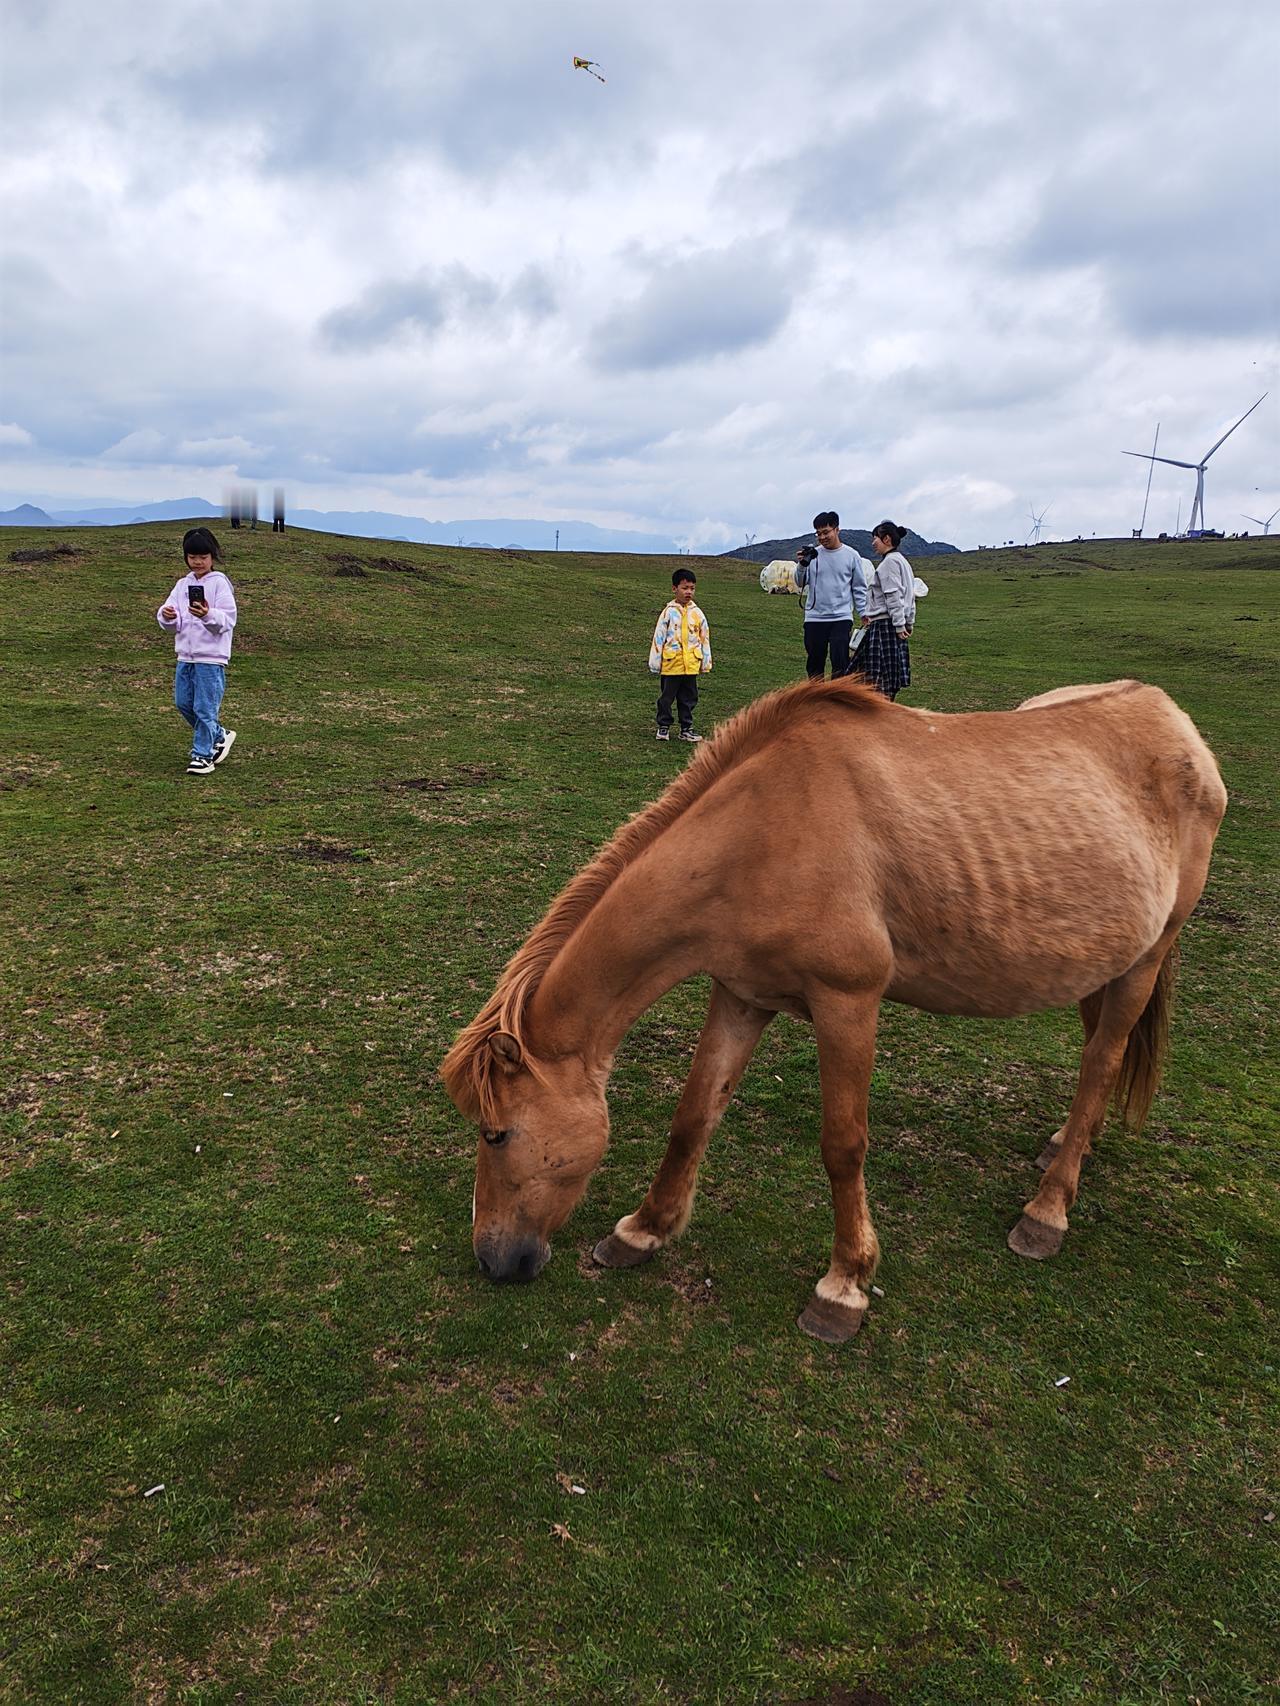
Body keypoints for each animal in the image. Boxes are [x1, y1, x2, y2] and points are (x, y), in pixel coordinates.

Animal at [440, 678, 1226, 1343]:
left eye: (495, 1133)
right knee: (1100, 1059)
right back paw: (1069, 1145)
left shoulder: (848, 1002)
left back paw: (1047, 1210)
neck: (761, 832)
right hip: (1105, 959)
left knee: (1101, 1062)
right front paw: (644, 1230)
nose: (493, 1259)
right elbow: (694, 1115)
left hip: (1146, 958)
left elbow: (843, 1146)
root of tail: (1174, 721)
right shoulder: (743, 994)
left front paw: (844, 1285)